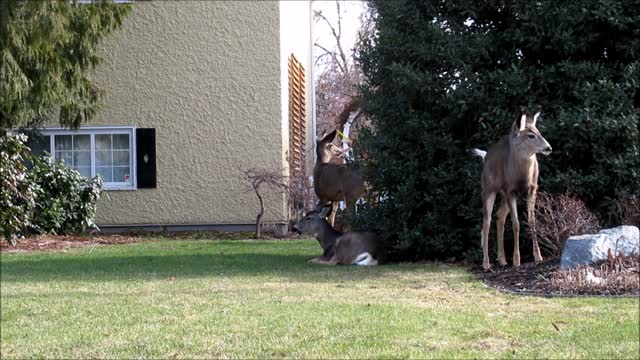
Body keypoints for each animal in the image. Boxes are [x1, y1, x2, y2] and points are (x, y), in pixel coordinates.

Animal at [470, 112, 556, 270]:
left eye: (539, 132)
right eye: (530, 135)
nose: (549, 148)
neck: (522, 176)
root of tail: (485, 156)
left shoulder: (533, 189)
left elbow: (532, 220)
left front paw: (538, 257)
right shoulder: (511, 191)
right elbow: (516, 223)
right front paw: (516, 260)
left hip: (503, 195)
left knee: (499, 216)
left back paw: (502, 260)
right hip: (488, 188)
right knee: (487, 221)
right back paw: (486, 263)